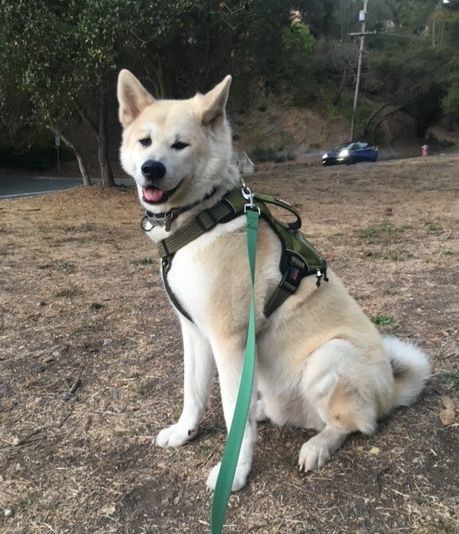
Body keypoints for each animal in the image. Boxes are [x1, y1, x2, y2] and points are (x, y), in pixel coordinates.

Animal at [116, 71, 432, 494]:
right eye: (145, 142)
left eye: (180, 144)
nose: (151, 169)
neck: (202, 217)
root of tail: (391, 391)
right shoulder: (195, 334)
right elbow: (193, 393)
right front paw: (185, 432)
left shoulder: (229, 342)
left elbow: (231, 411)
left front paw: (234, 470)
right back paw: (264, 412)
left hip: (329, 356)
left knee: (354, 425)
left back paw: (318, 445)